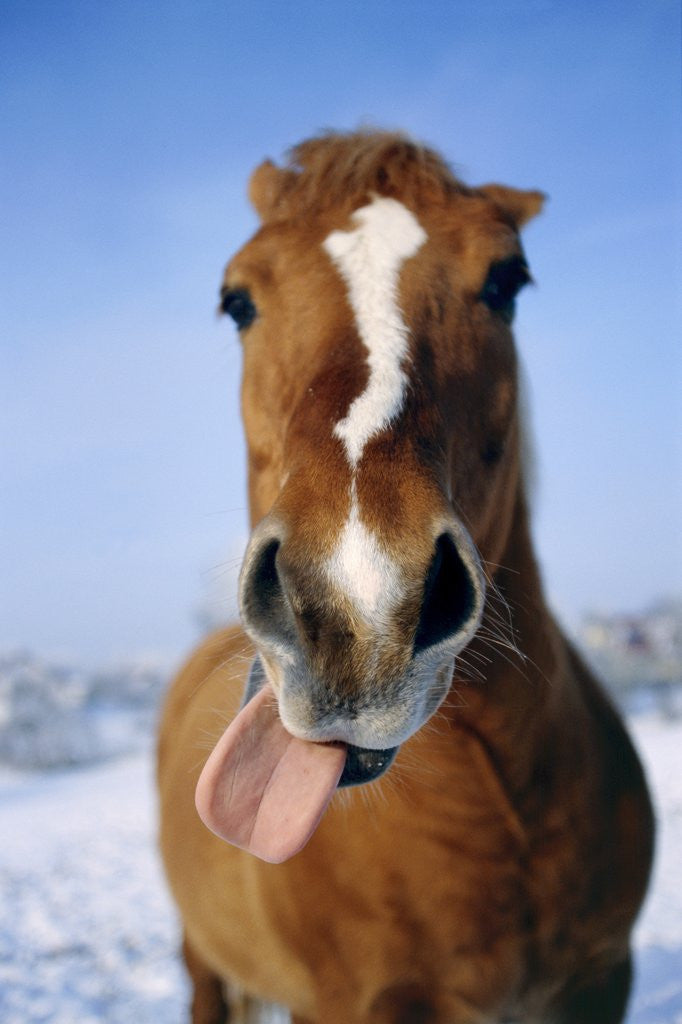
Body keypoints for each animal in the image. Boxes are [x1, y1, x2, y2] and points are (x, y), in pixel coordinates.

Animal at [156, 134, 651, 1024]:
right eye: (236, 300)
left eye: (506, 281)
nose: (359, 606)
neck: (498, 813)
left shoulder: (602, 981)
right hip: (205, 966)